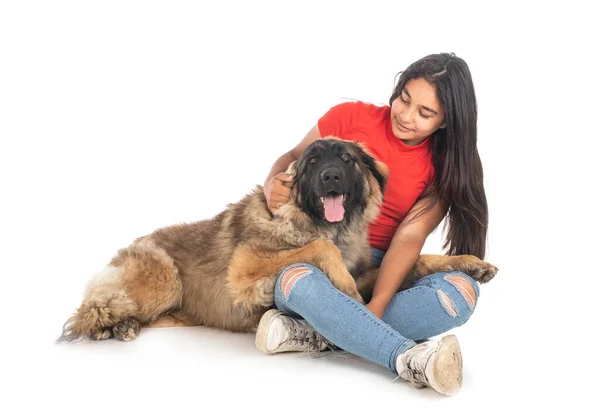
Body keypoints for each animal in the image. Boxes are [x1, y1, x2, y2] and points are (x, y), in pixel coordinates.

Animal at [58, 139, 496, 342]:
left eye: (347, 159)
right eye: (314, 162)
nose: (331, 176)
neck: (320, 223)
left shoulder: (374, 270)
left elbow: (419, 259)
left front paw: (471, 263)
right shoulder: (245, 268)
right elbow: (319, 250)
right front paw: (345, 289)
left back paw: (125, 326)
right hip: (164, 279)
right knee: (94, 308)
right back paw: (110, 326)